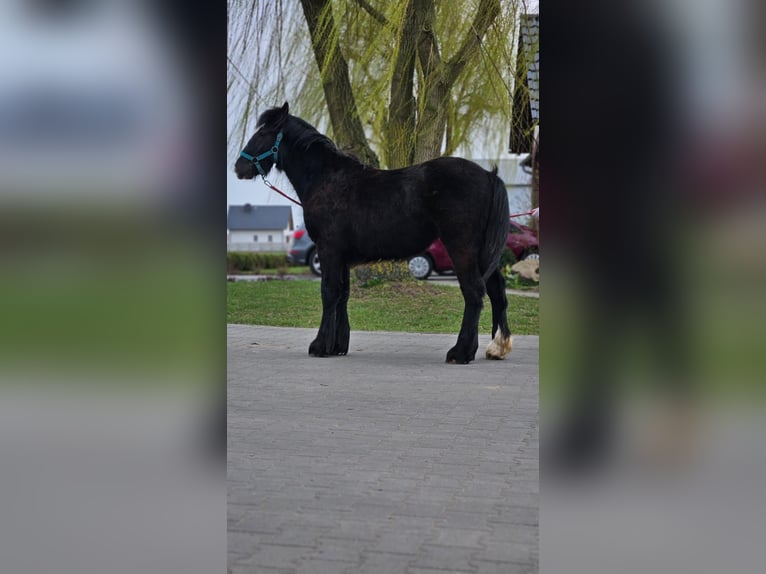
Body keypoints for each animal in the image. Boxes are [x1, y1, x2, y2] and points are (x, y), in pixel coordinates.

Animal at [234, 102, 513, 364]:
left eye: (263, 134)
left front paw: (320, 346)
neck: (327, 179)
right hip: (484, 253)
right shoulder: (341, 256)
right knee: (496, 291)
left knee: (474, 293)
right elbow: (342, 295)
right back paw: (497, 347)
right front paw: (337, 346)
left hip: (461, 248)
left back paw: (461, 352)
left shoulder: (328, 249)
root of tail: (489, 175)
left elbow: (329, 293)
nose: (239, 167)